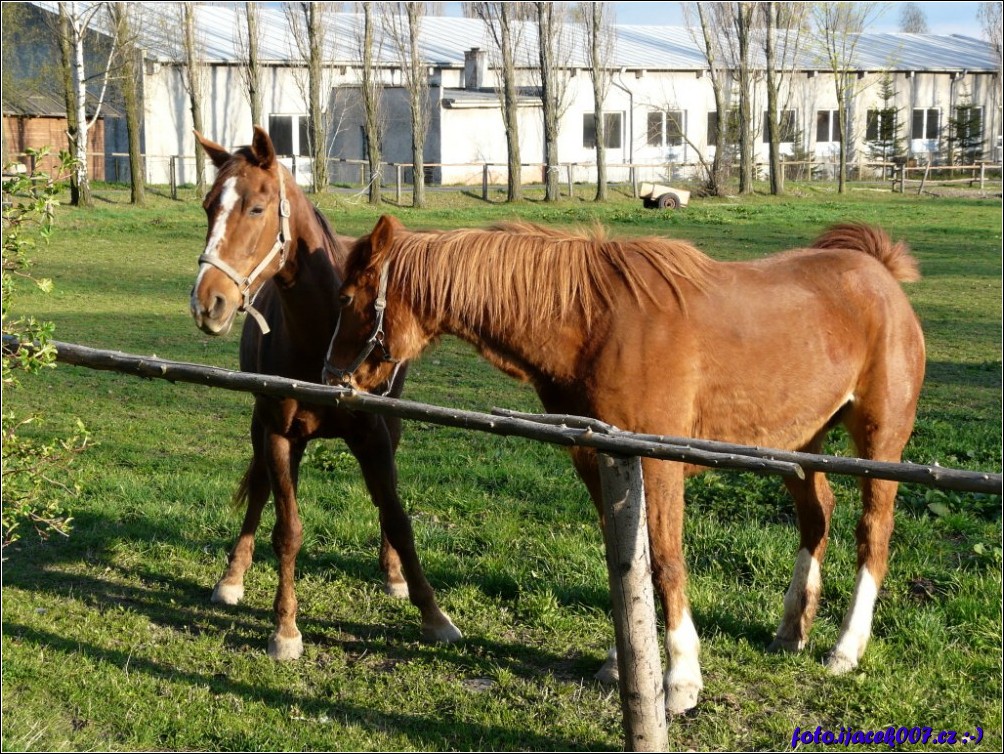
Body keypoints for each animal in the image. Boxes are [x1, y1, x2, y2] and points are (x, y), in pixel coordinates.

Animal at [188, 129, 459, 658]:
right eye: (209, 206)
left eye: (257, 207)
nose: (208, 302)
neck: (321, 332)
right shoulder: (278, 434)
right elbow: (287, 530)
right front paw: (285, 628)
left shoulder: (375, 435)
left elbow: (397, 516)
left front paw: (433, 615)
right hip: (263, 429)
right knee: (261, 492)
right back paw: (233, 576)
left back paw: (392, 573)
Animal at [323, 214, 923, 714]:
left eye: (347, 296)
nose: (331, 379)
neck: (594, 324)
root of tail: (878, 272)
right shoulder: (601, 460)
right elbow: (627, 558)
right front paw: (625, 660)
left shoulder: (657, 465)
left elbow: (666, 560)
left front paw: (681, 678)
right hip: (798, 443)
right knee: (816, 516)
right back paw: (791, 629)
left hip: (880, 443)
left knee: (873, 532)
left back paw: (846, 647)